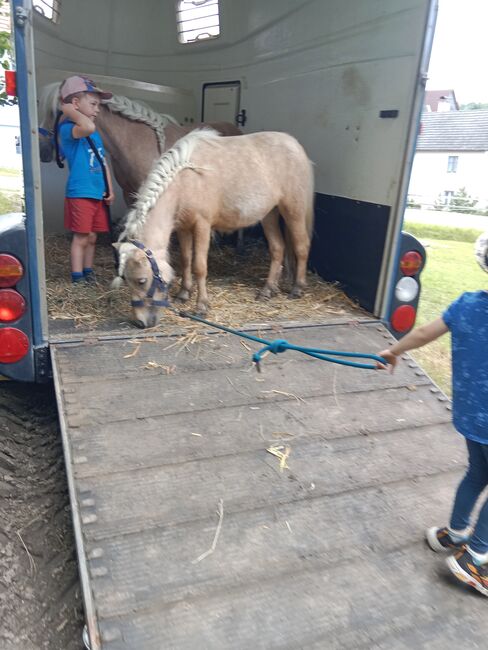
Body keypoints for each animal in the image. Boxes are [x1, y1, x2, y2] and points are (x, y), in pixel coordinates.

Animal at [113, 128, 314, 326]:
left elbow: (199, 266)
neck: (185, 180)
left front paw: (201, 306)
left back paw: (297, 288)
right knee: (277, 248)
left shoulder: (202, 226)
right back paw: (268, 290)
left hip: (293, 210)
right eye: (126, 280)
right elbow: (186, 260)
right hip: (269, 214)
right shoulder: (183, 228)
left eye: (141, 280)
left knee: (301, 246)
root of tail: (296, 145)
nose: (140, 322)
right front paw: (184, 293)